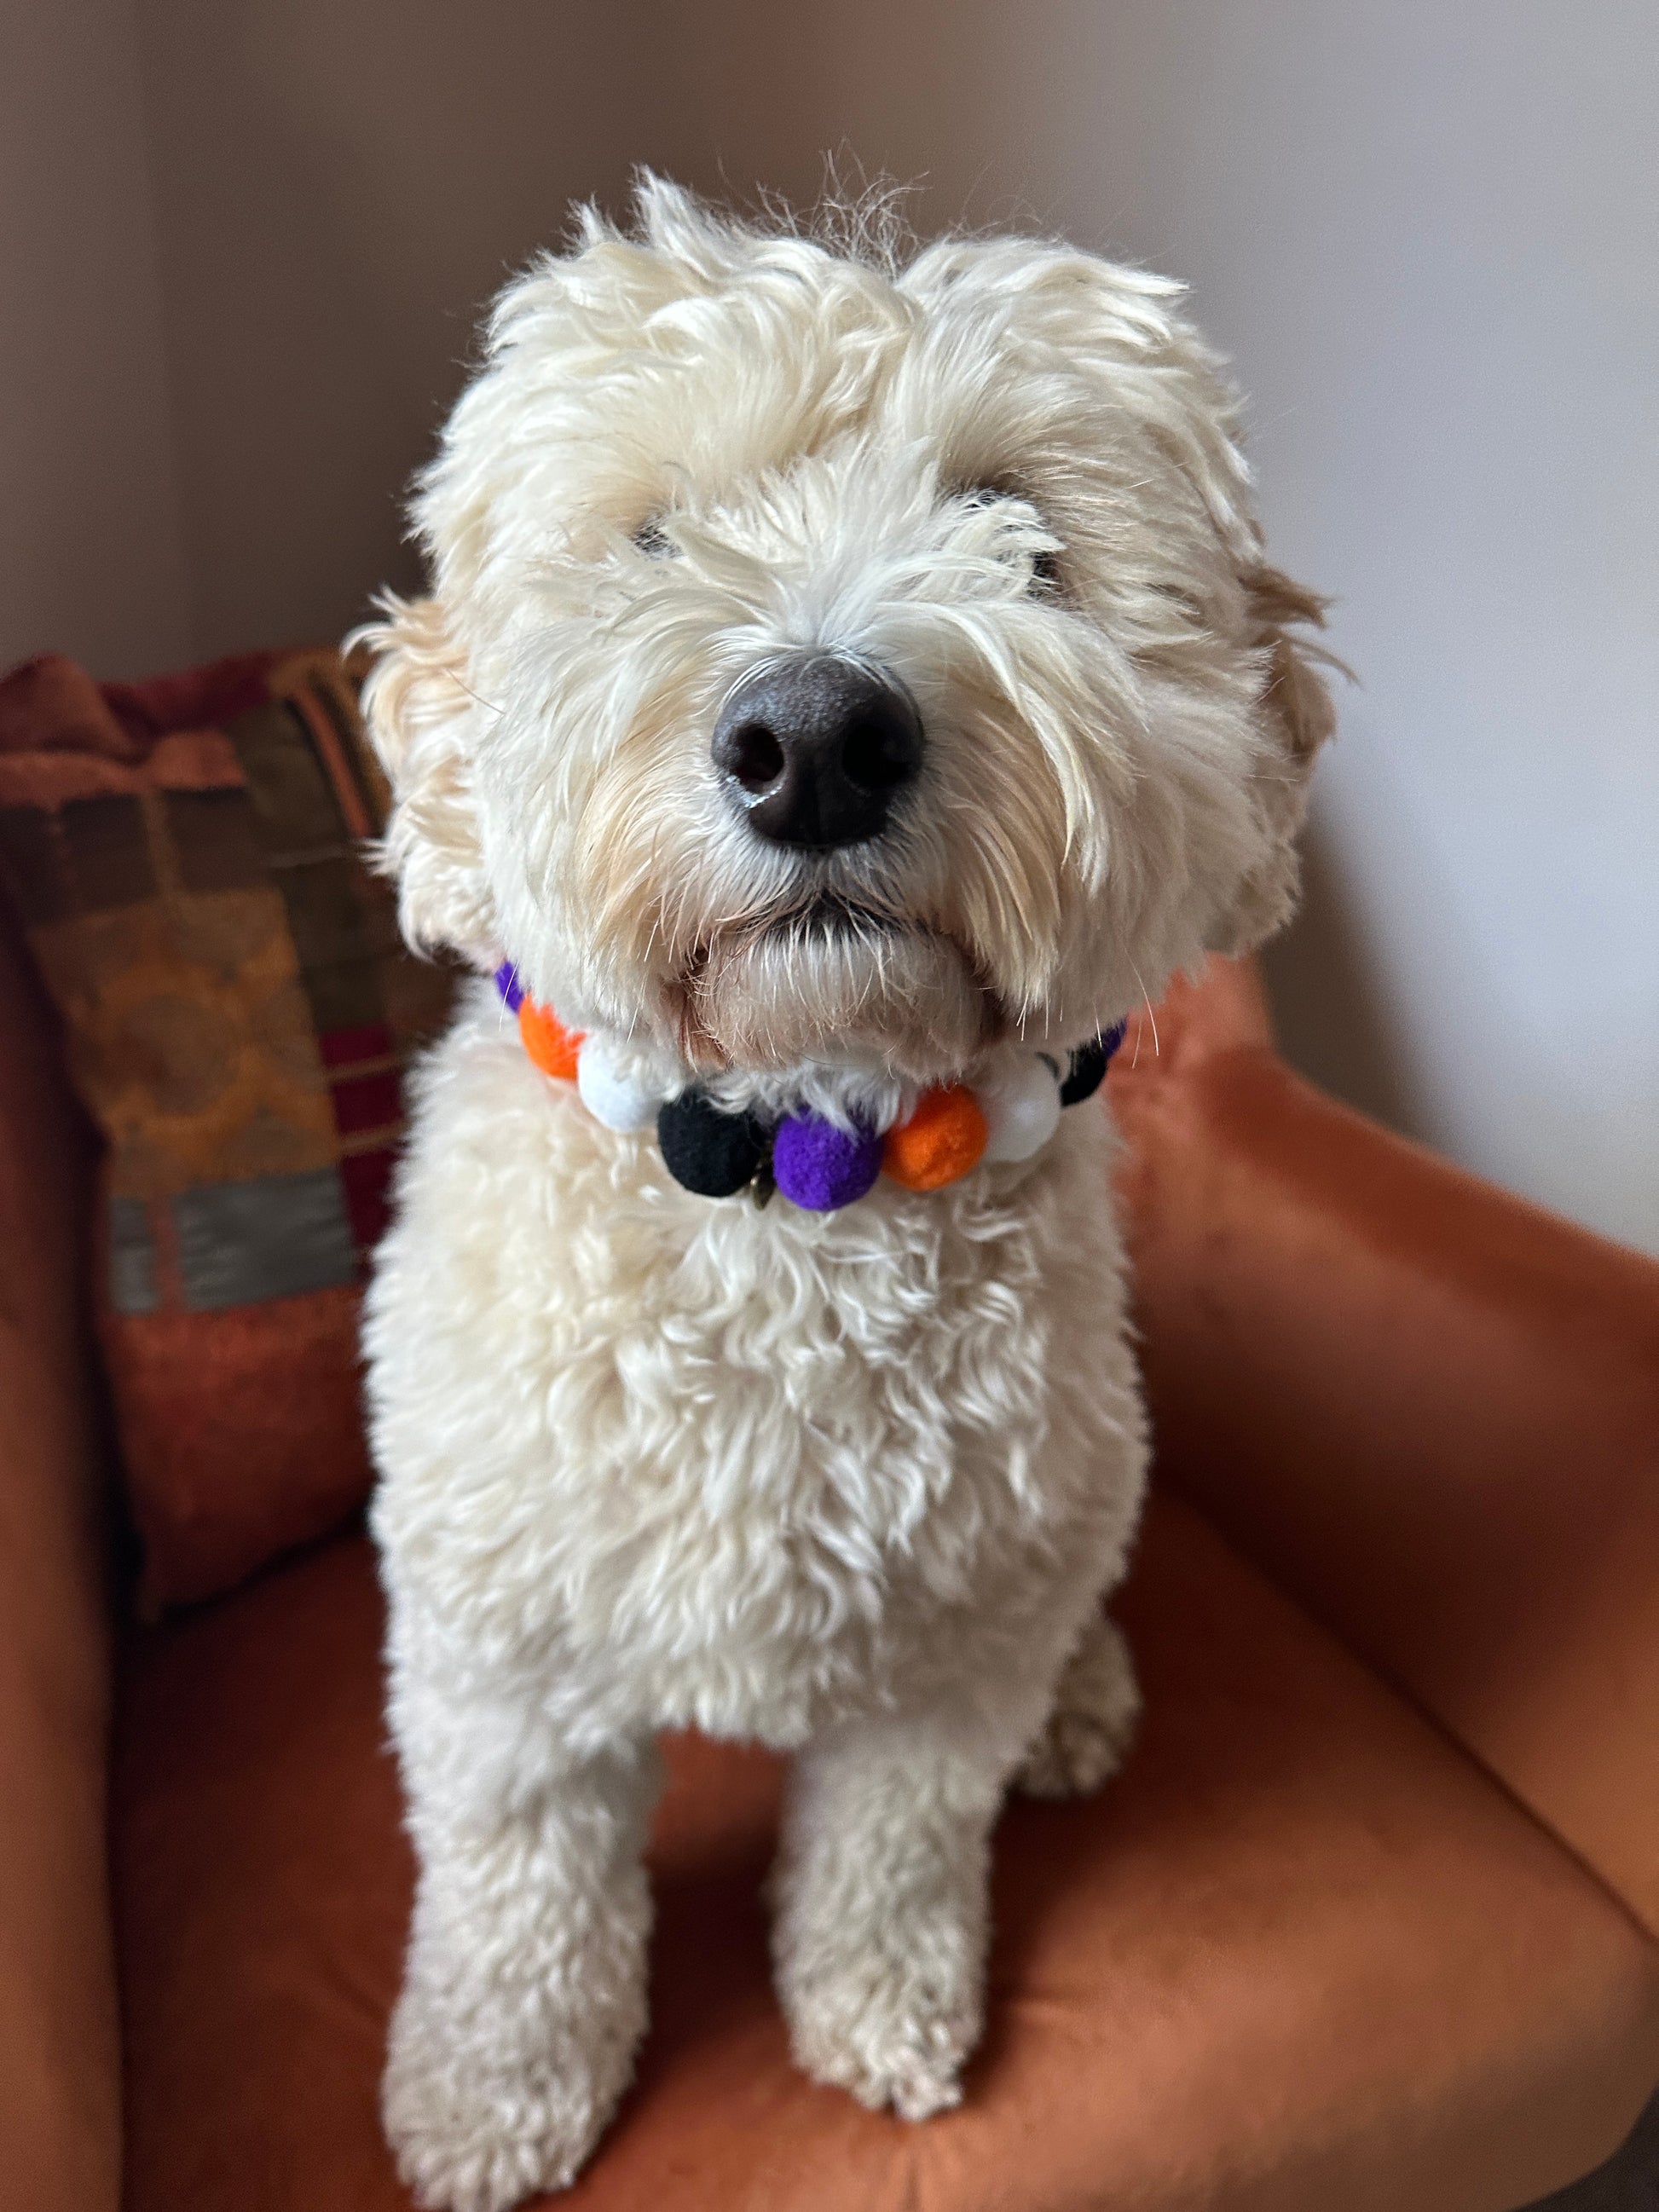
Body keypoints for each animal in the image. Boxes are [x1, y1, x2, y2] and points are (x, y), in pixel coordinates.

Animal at [358, 176, 1336, 2212]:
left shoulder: (944, 1666)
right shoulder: (502, 1664)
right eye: (649, 534)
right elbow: (515, 1896)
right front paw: (494, 2092)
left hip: (1076, 1506)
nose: (812, 738)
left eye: (1026, 538)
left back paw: (1085, 1702)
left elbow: (892, 1854)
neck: (799, 1180)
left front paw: (879, 2011)